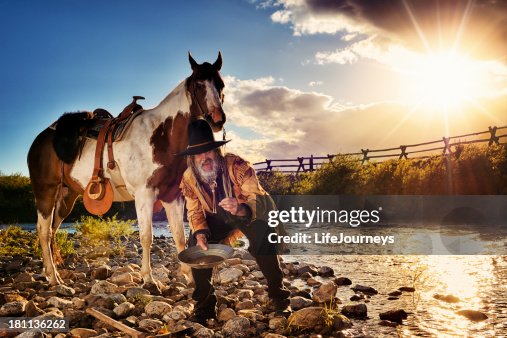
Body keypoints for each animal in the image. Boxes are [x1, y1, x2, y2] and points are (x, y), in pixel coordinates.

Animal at [27, 52, 226, 294]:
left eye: (220, 84)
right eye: (198, 84)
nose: (217, 119)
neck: (162, 136)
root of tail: (41, 138)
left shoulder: (173, 196)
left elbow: (179, 237)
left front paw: (190, 278)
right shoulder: (144, 194)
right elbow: (146, 237)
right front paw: (149, 280)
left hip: (66, 196)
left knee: (53, 231)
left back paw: (52, 274)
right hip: (45, 193)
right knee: (43, 231)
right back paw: (55, 279)